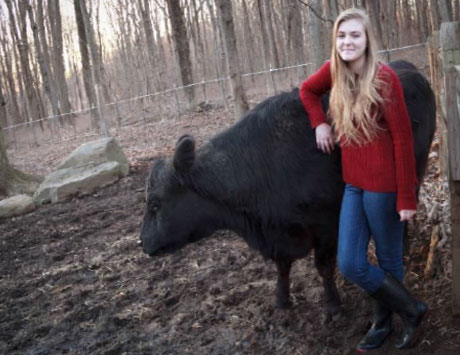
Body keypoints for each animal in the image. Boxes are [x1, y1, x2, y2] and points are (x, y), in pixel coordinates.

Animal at [140, 59, 434, 316]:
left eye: (155, 203)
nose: (143, 242)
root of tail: (406, 67)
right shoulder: (279, 235)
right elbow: (282, 267)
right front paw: (282, 300)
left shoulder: (327, 226)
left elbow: (323, 266)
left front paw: (332, 304)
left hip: (414, 174)